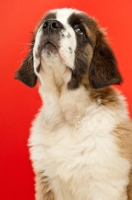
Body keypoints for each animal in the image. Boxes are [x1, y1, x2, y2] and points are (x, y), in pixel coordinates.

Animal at [15, 8, 132, 200]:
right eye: (44, 23)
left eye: (79, 30)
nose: (50, 25)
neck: (67, 117)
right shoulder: (47, 183)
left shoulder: (104, 185)